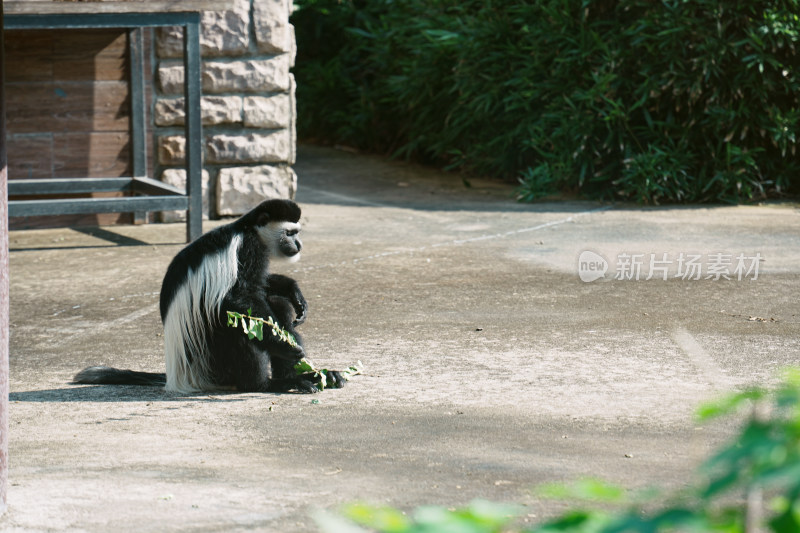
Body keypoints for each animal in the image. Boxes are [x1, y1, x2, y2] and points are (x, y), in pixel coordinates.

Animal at [76, 197, 346, 392]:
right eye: (290, 233)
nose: (298, 245)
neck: (247, 228)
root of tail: (181, 375)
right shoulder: (247, 248)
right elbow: (237, 298)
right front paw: (285, 344)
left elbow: (261, 286)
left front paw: (293, 291)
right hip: (213, 360)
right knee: (235, 324)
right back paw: (268, 384)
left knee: (277, 305)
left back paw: (311, 375)